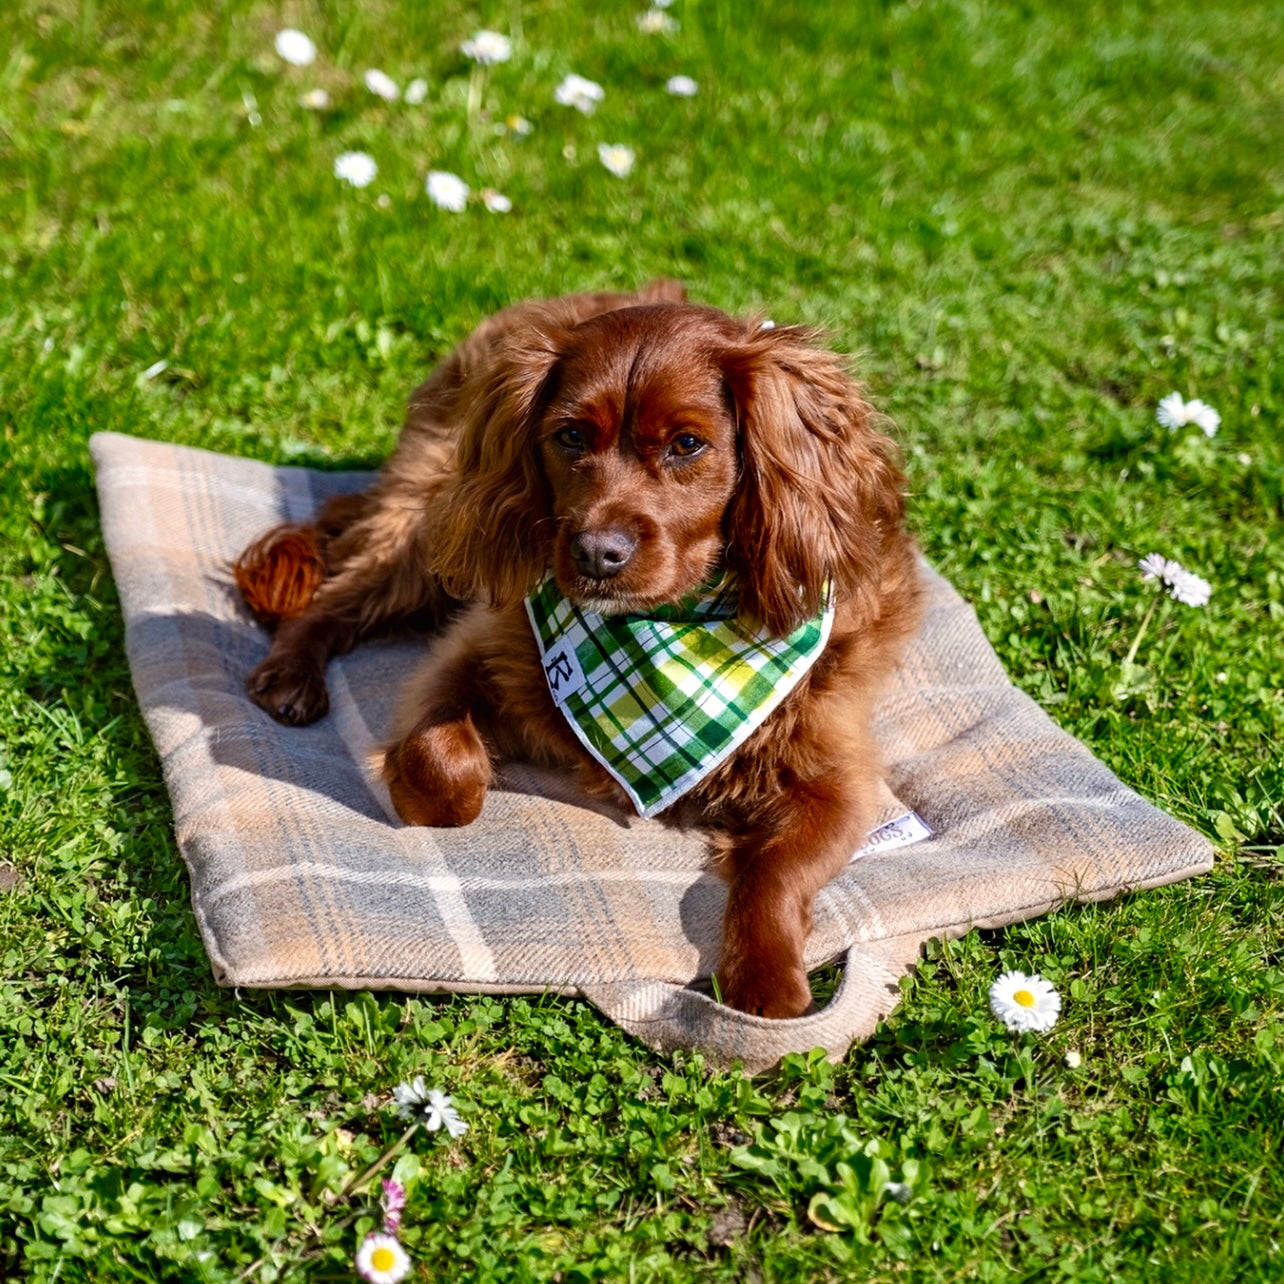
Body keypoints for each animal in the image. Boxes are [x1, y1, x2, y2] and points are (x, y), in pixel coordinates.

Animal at [236, 283, 924, 1022]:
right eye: (570, 436)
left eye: (688, 444)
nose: (597, 554)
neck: (666, 630)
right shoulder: (476, 647)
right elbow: (441, 763)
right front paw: (457, 786)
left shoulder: (836, 770)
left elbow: (778, 871)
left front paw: (767, 984)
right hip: (432, 516)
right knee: (335, 594)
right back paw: (290, 674)